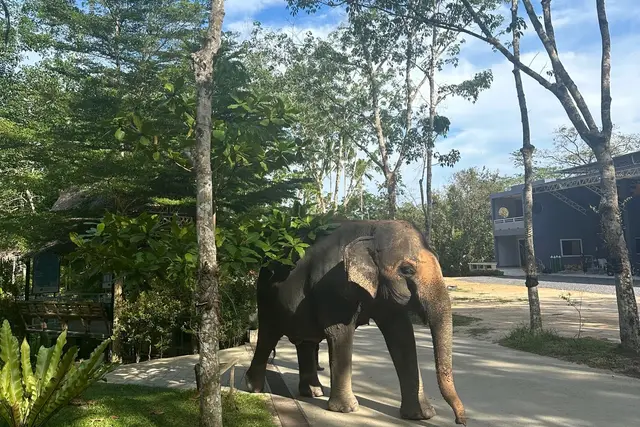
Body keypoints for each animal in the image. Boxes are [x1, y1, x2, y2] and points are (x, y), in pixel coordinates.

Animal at [245, 220, 466, 425]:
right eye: (407, 270)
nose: (460, 421)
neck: (372, 229)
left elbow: (401, 334)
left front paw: (421, 416)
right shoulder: (334, 287)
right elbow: (339, 332)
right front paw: (347, 410)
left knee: (306, 341)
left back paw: (313, 392)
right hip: (266, 299)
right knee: (268, 336)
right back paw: (253, 388)